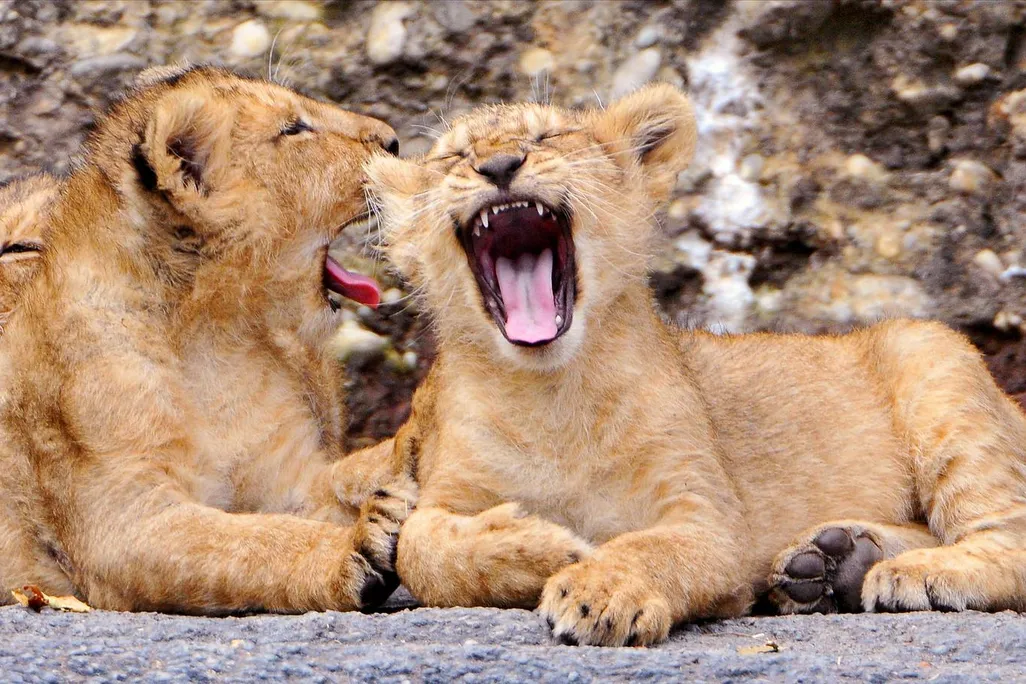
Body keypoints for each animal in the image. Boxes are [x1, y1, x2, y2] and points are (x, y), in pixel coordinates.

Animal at [365, 83, 1026, 646]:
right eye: (454, 156)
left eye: (549, 137)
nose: (499, 166)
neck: (549, 393)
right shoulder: (447, 489)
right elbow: (418, 550)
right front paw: (547, 546)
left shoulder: (707, 517)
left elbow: (652, 550)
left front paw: (599, 589)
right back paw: (832, 561)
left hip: (933, 355)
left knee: (1008, 535)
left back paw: (908, 573)